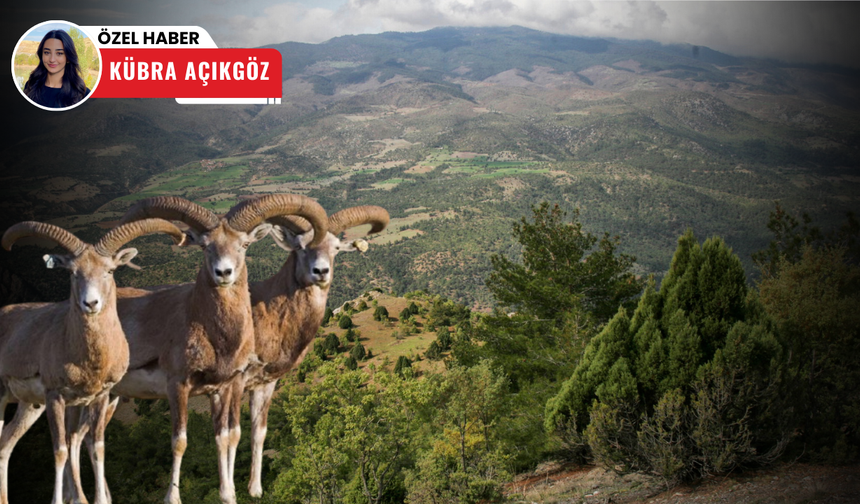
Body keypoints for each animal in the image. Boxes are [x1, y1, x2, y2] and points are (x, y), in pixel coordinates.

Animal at [0, 219, 185, 504]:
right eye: (73, 273)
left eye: (109, 270)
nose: (91, 303)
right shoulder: (55, 397)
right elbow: (60, 451)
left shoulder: (100, 397)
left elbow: (98, 448)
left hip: (28, 406)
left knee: (6, 443)